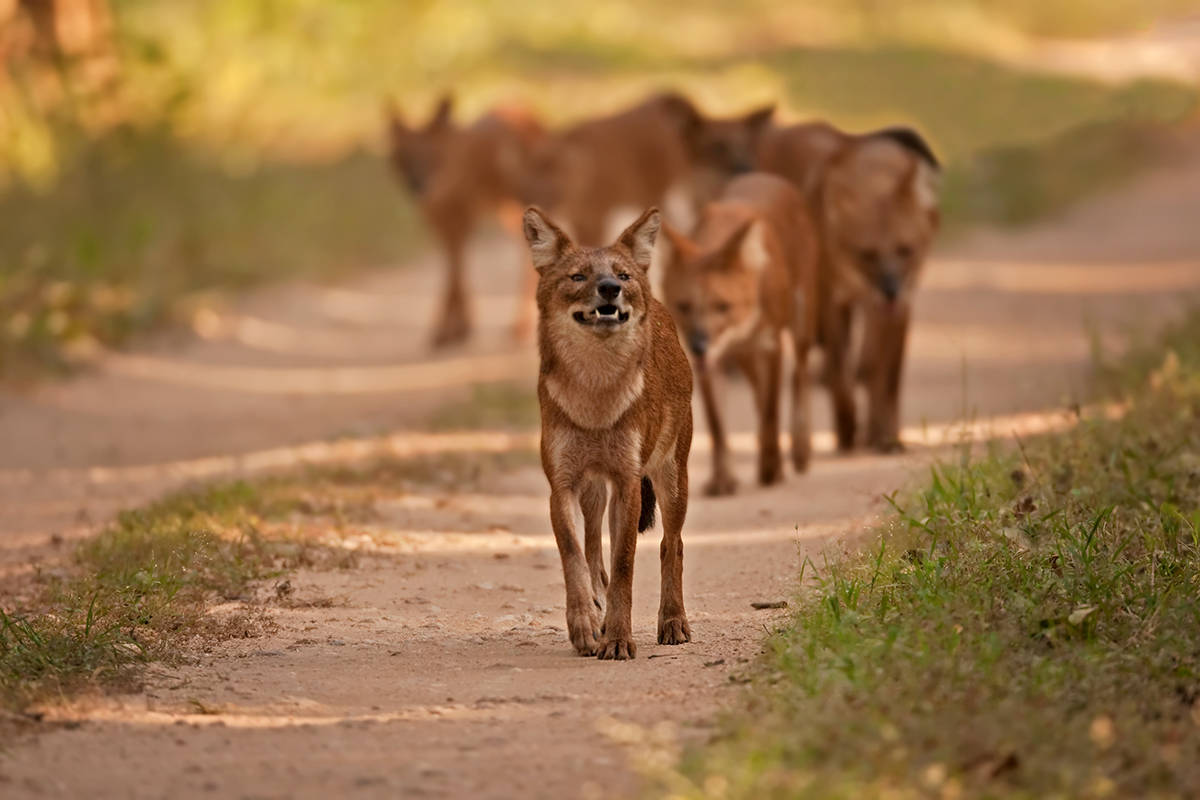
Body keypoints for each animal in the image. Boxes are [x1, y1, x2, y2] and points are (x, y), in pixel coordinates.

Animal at [386, 95, 547, 345]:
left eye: (433, 155)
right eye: (404, 157)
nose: (419, 187)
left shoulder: (461, 219)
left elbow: (454, 270)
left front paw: (450, 329)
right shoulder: (442, 224)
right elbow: (454, 266)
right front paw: (456, 327)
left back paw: (521, 325)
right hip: (505, 209)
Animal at [525, 205, 696, 657]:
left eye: (622, 275)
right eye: (577, 276)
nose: (609, 289)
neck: (596, 398)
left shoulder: (627, 481)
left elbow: (625, 563)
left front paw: (618, 638)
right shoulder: (563, 484)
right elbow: (574, 556)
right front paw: (585, 624)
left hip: (673, 476)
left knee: (672, 544)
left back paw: (673, 623)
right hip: (593, 489)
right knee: (592, 548)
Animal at [662, 176, 820, 494]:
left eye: (723, 306)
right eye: (684, 306)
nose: (698, 345)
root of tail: (770, 177)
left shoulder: (771, 344)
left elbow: (771, 411)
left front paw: (771, 469)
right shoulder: (713, 363)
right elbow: (718, 425)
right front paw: (723, 479)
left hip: (801, 322)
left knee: (800, 376)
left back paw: (800, 450)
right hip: (746, 357)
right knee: (760, 391)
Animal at [763, 124, 940, 450]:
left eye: (905, 250)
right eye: (866, 253)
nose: (890, 289)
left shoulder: (898, 307)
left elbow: (885, 377)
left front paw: (886, 435)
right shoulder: (833, 300)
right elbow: (840, 372)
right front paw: (847, 427)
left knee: (873, 366)